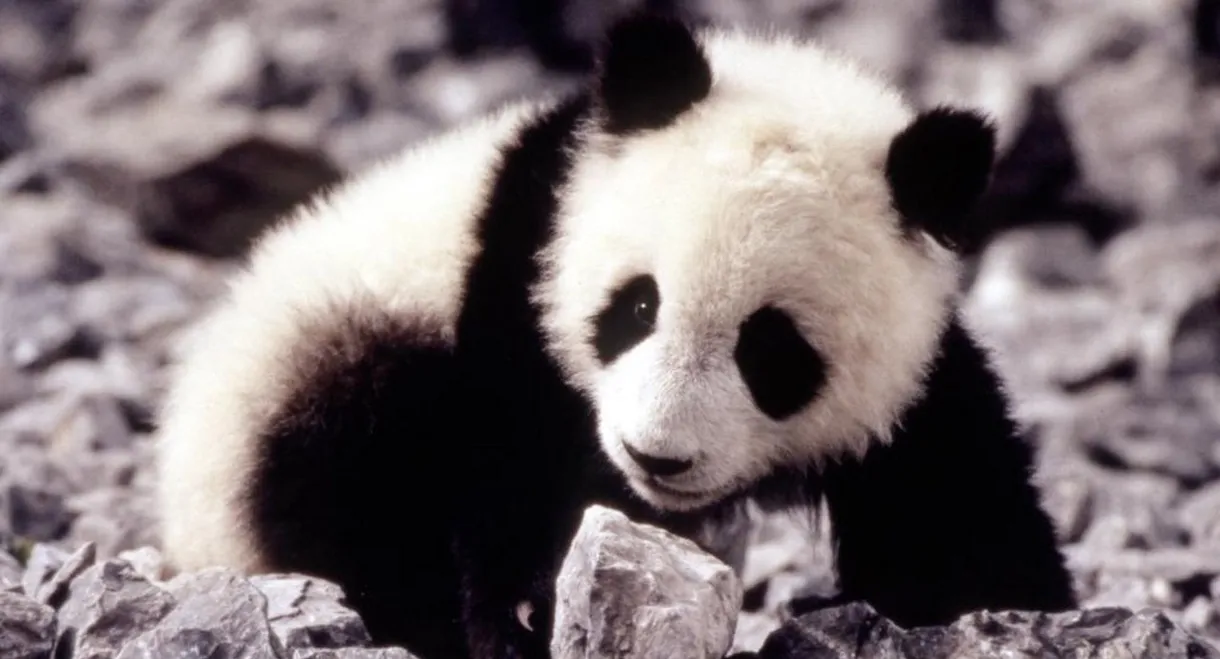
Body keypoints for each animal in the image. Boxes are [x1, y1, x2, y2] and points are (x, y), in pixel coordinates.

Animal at [154, 11, 1077, 659]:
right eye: (637, 308)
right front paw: (527, 610)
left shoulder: (913, 373)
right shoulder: (523, 273)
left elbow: (954, 513)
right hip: (314, 369)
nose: (656, 456)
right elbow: (506, 457)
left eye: (771, 351)